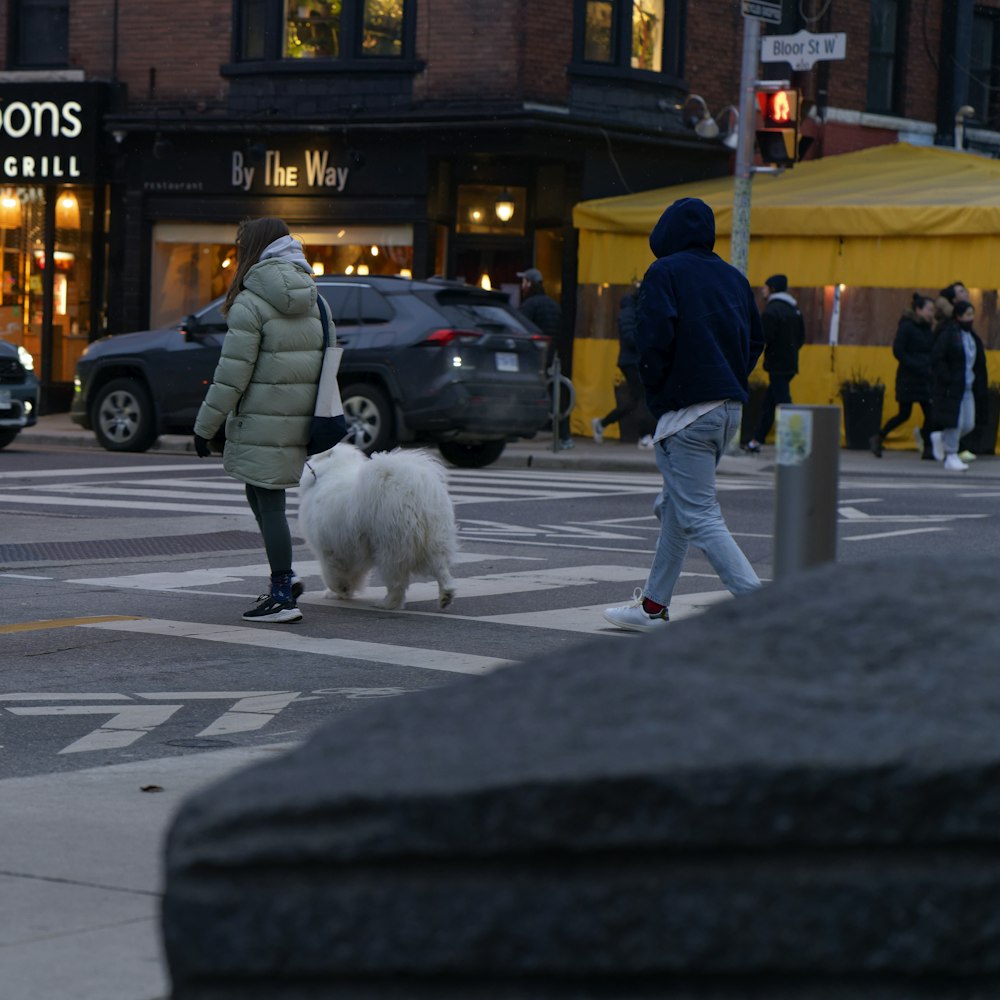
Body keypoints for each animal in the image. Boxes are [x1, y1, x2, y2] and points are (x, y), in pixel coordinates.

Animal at [292, 444, 458, 608]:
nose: (307, 458)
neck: (332, 470)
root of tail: (412, 492)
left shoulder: (329, 550)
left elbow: (333, 575)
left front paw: (339, 590)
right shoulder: (352, 551)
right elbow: (352, 574)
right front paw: (343, 592)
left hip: (390, 548)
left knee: (397, 583)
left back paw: (387, 603)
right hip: (434, 540)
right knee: (441, 569)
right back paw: (446, 595)